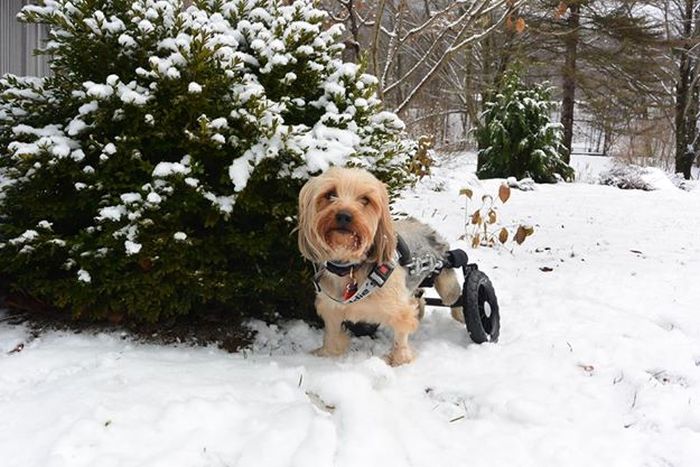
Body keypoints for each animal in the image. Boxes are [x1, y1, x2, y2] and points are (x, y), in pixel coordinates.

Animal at [296, 166, 464, 368]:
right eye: (330, 194)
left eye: (365, 199)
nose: (344, 215)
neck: (351, 267)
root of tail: (425, 226)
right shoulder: (331, 308)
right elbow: (332, 335)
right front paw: (325, 354)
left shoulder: (399, 307)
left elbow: (402, 333)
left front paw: (399, 360)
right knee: (420, 298)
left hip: (444, 274)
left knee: (454, 296)